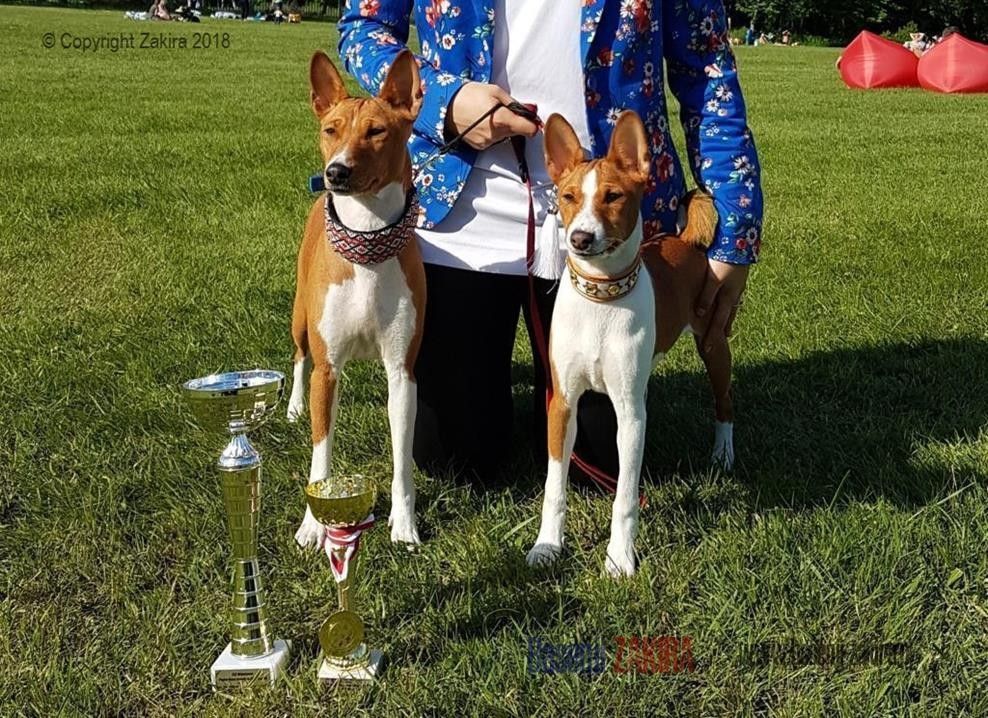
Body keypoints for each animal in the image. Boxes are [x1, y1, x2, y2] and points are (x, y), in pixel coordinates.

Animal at [288, 50, 425, 548]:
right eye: (331, 129)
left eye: (377, 131)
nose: (337, 172)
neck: (366, 243)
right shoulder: (328, 370)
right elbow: (320, 456)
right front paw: (313, 526)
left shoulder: (402, 372)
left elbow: (402, 462)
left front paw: (403, 525)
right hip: (300, 319)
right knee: (298, 357)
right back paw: (292, 406)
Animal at [527, 110, 734, 577]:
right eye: (567, 197)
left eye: (613, 196)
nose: (581, 238)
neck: (601, 300)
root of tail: (682, 239)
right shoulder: (562, 403)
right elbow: (554, 486)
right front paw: (547, 545)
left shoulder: (631, 411)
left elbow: (623, 497)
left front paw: (619, 559)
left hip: (714, 344)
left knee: (725, 403)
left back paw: (723, 454)